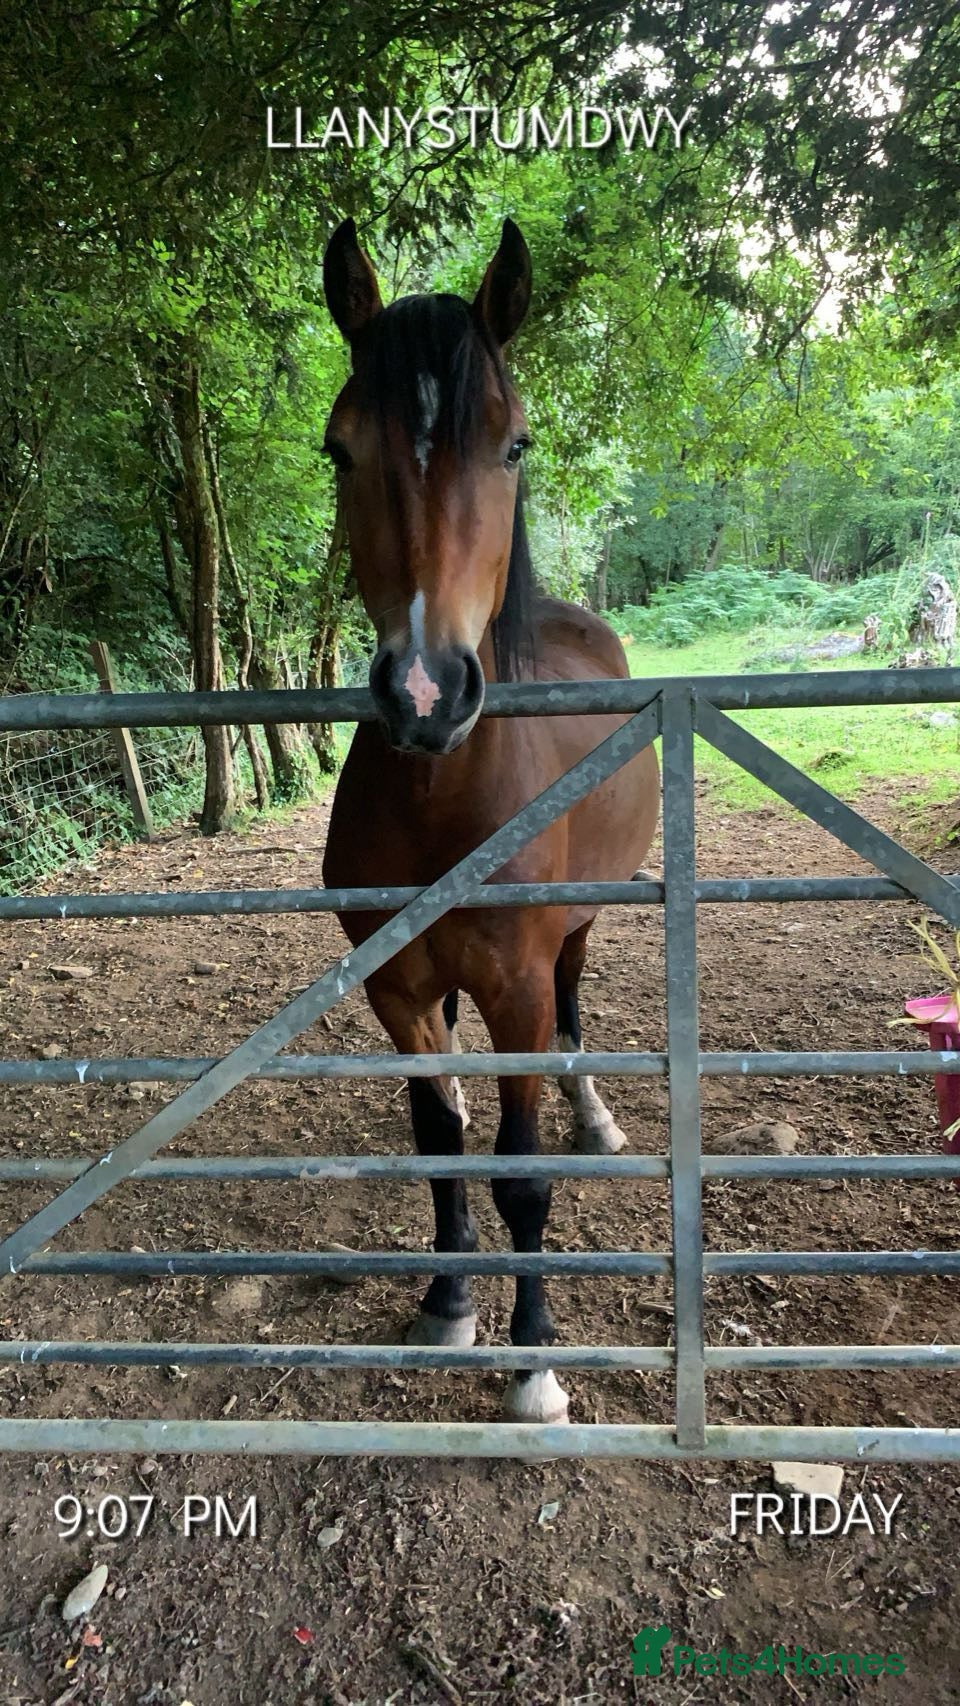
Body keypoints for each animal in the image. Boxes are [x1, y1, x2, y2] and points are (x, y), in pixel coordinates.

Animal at [321, 217, 660, 1424]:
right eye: (338, 450)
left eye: (513, 446)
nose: (426, 694)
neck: (446, 798)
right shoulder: (394, 985)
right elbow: (441, 1140)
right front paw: (448, 1297)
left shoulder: (514, 983)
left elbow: (520, 1170)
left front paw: (536, 1360)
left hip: (581, 928)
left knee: (572, 1010)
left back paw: (592, 1111)